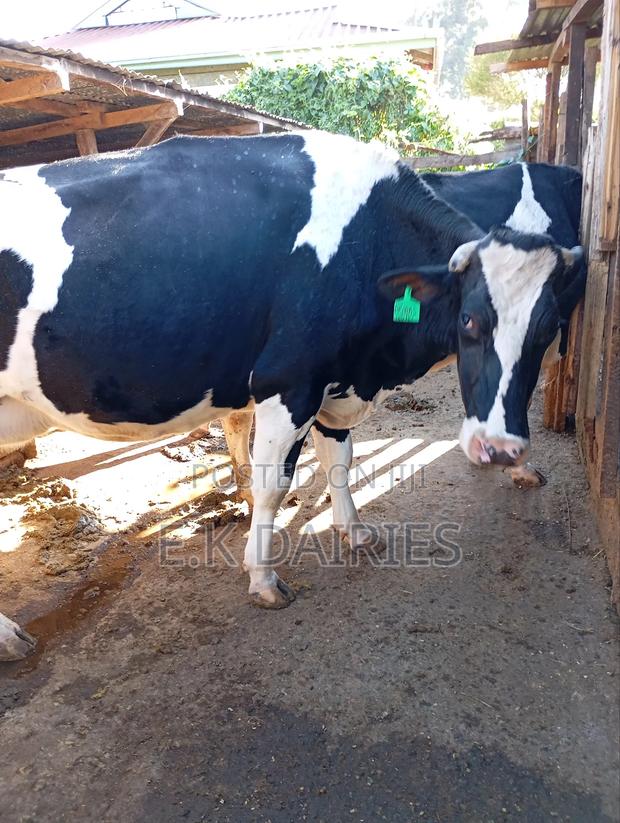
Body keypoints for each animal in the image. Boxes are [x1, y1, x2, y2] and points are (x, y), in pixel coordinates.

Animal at [0, 132, 583, 659]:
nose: (501, 448)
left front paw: (355, 533)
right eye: (468, 320)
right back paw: (9, 637)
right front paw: (262, 579)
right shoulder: (288, 381)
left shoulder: (336, 382)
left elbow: (339, 459)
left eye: (547, 328)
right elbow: (273, 486)